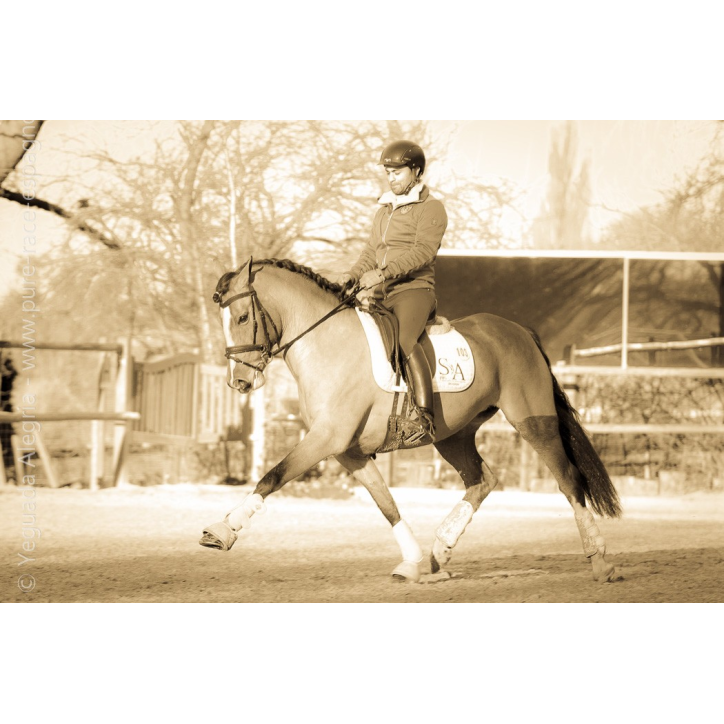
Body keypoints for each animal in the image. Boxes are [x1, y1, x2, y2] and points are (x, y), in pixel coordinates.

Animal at [200, 257, 622, 584]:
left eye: (242, 317)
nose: (239, 382)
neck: (327, 345)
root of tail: (520, 330)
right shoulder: (348, 451)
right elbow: (386, 504)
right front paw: (413, 562)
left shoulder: (326, 439)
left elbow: (272, 475)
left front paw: (223, 530)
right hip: (453, 435)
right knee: (482, 480)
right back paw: (440, 552)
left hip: (533, 420)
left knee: (568, 480)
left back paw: (600, 561)